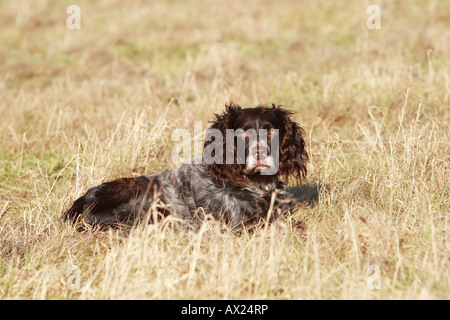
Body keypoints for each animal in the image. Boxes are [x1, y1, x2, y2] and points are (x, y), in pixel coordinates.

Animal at [62, 104, 310, 231]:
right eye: (241, 133)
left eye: (271, 131)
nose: (260, 153)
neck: (257, 187)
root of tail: (79, 204)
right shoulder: (236, 226)